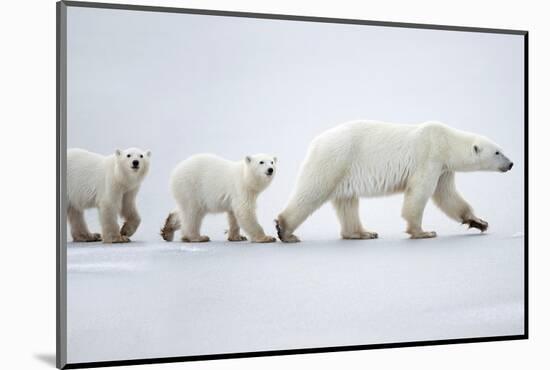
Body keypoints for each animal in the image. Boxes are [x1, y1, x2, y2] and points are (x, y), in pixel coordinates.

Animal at [278, 120, 516, 243]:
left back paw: (363, 232)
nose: (512, 163)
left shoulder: (443, 169)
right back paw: (285, 230)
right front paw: (423, 232)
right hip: (334, 160)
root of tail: (316, 142)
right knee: (312, 192)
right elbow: (419, 194)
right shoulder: (429, 156)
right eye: (497, 152)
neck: (446, 141)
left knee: (347, 202)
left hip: (343, 170)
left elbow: (448, 196)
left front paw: (479, 222)